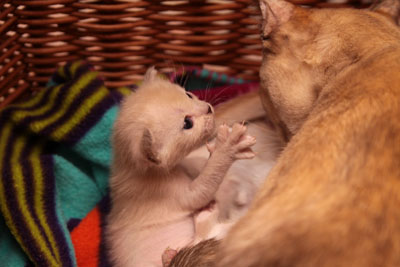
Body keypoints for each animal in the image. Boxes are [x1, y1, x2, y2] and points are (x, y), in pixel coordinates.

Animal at [105, 67, 256, 267]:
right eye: (187, 123)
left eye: (188, 94)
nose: (208, 108)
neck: (129, 167)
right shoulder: (168, 192)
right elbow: (201, 190)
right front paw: (227, 149)